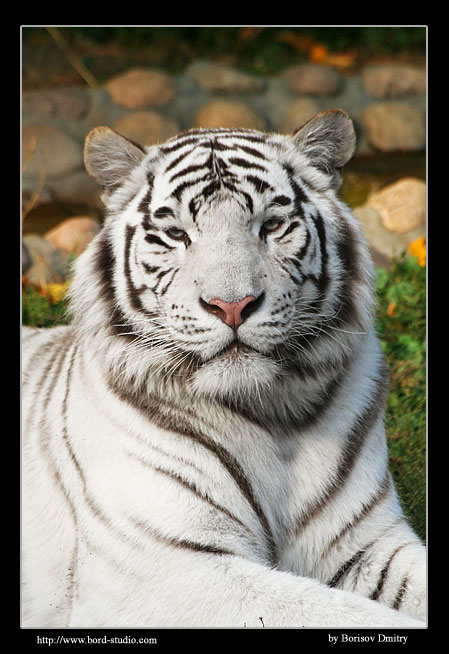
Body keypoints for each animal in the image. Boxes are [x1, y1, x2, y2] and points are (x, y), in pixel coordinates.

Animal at [21, 109, 426, 628]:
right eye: (176, 234)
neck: (274, 419)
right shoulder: (167, 568)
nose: (231, 305)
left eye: (272, 225)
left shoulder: (367, 545)